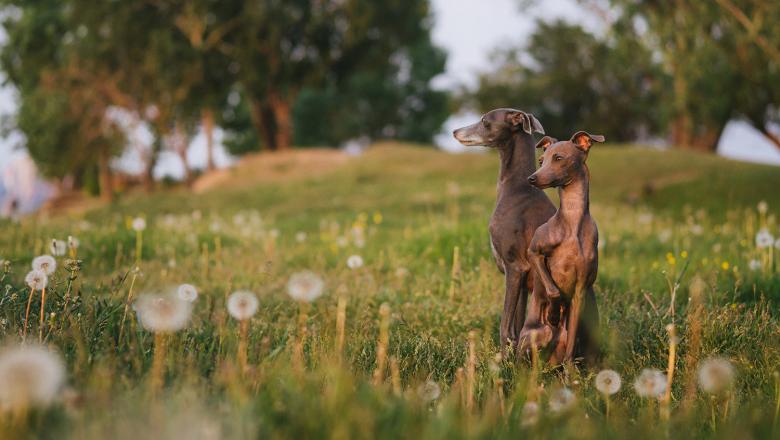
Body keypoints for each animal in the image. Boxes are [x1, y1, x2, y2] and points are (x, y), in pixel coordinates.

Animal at [450, 108, 556, 352]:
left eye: (484, 121)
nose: (454, 131)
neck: (517, 188)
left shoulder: (514, 267)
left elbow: (505, 326)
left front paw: (502, 358)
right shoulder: (524, 279)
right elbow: (516, 328)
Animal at [520, 131, 608, 364]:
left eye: (558, 158)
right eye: (541, 160)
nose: (531, 178)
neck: (572, 221)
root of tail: (552, 363)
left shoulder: (580, 293)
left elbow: (570, 347)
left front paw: (571, 372)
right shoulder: (534, 252)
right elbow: (553, 290)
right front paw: (552, 313)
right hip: (535, 335)